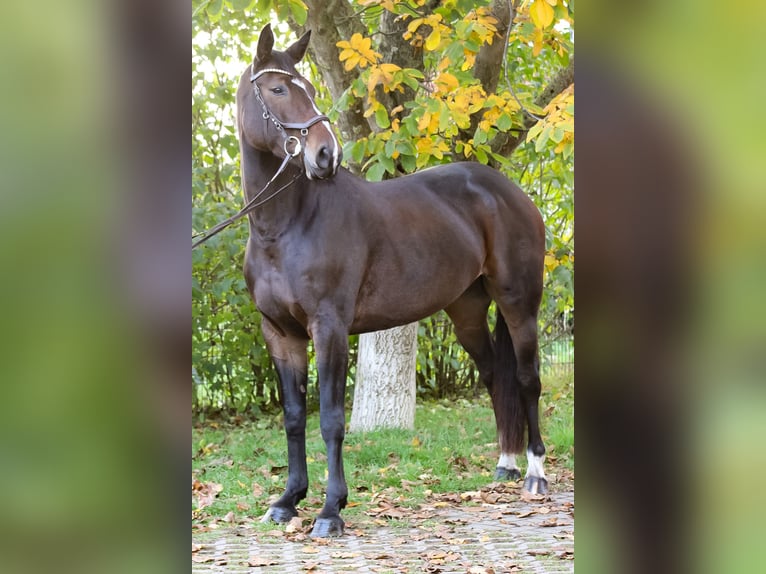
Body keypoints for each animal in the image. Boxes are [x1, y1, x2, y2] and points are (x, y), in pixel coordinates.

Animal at [237, 25, 548, 540]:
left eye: (309, 88)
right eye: (278, 89)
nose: (325, 154)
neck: (285, 227)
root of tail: (509, 193)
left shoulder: (330, 328)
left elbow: (331, 419)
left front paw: (331, 510)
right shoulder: (280, 334)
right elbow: (294, 417)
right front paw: (287, 501)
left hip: (519, 303)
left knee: (526, 379)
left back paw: (535, 473)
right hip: (466, 312)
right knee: (493, 375)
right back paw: (505, 464)